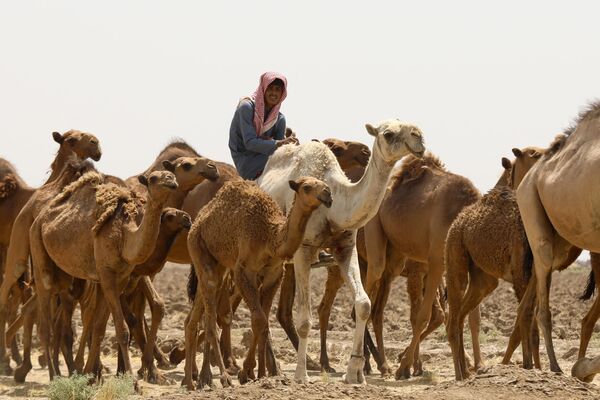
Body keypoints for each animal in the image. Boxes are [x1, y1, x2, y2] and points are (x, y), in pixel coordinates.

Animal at [28, 167, 178, 380]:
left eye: (170, 175)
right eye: (154, 178)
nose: (171, 179)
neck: (125, 236)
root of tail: (39, 219)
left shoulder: (119, 278)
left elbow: (99, 328)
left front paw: (92, 377)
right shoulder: (107, 276)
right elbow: (121, 330)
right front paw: (131, 380)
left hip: (63, 276)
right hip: (38, 253)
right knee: (44, 325)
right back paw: (53, 376)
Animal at [183, 177, 332, 390]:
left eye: (324, 183)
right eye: (307, 187)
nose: (328, 194)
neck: (271, 236)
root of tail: (198, 220)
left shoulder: (274, 275)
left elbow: (263, 321)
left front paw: (260, 374)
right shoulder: (243, 271)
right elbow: (259, 319)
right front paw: (247, 372)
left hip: (218, 265)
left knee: (194, 318)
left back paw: (192, 381)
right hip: (198, 248)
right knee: (210, 319)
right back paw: (220, 378)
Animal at [258, 119, 426, 384]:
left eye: (413, 127)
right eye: (388, 134)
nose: (418, 138)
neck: (334, 205)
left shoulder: (346, 247)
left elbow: (364, 304)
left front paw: (355, 373)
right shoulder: (304, 250)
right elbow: (304, 320)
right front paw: (301, 376)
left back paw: (269, 368)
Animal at [360, 152, 482, 378]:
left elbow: (466, 315)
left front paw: (466, 370)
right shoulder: (436, 263)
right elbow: (423, 317)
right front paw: (404, 367)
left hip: (396, 257)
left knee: (377, 306)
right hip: (374, 234)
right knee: (367, 292)